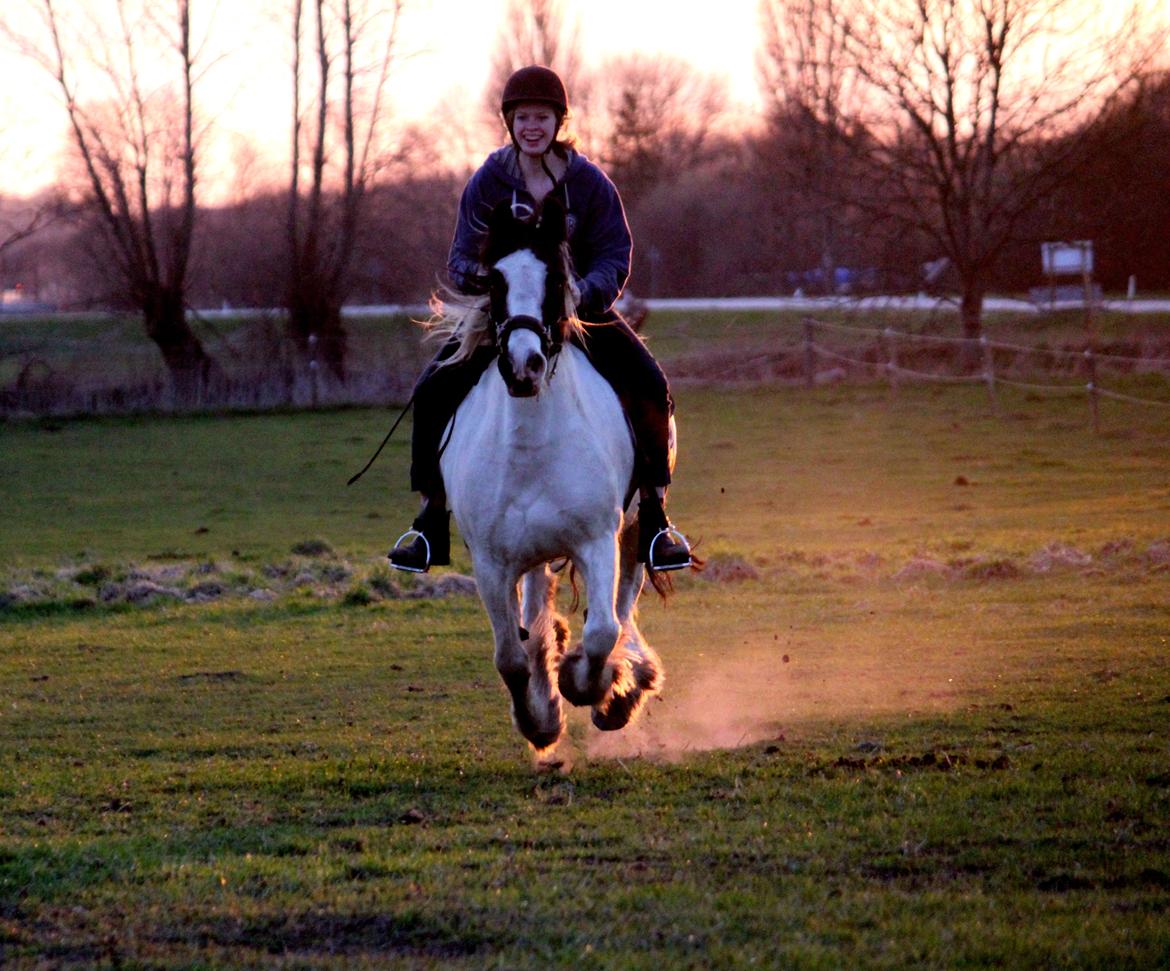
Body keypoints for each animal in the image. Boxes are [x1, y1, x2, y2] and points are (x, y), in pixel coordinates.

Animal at [432, 200, 673, 758]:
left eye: (557, 279)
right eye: (494, 281)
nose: (525, 365)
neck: (532, 444)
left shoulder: (597, 539)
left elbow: (603, 631)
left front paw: (592, 686)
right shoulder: (492, 562)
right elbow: (510, 657)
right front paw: (540, 721)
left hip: (635, 528)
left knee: (624, 603)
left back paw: (628, 685)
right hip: (532, 554)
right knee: (538, 612)